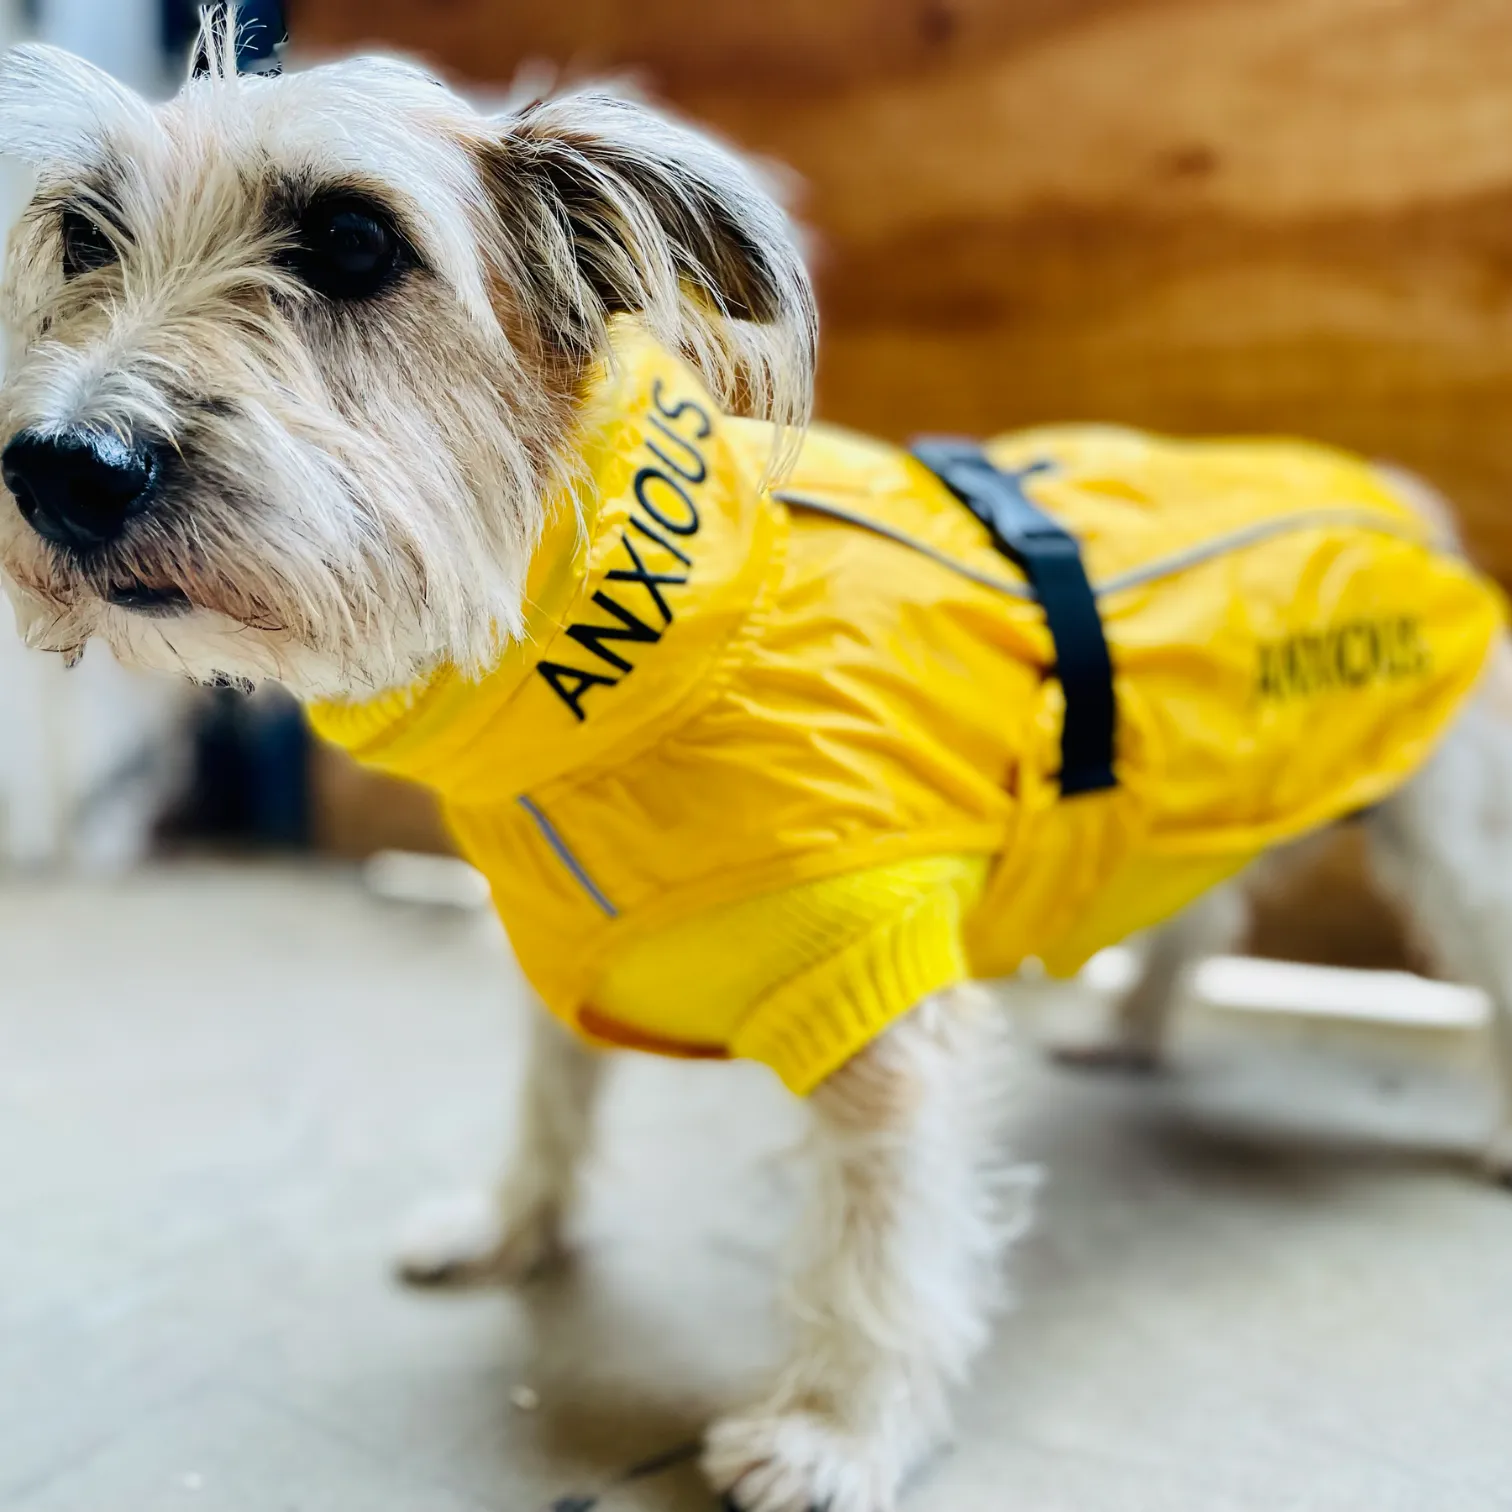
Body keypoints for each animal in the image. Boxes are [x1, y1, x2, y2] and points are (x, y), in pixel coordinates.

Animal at [0, 26, 1505, 1512]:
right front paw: (511, 1228)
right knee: (1203, 908)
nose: (61, 467)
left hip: (1460, 849)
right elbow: (547, 1103)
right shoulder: (564, 947)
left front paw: (838, 1429)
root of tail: (1397, 490)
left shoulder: (879, 993)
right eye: (82, 235)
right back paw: (1131, 1028)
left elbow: (877, 1247)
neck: (633, 656)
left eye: (355, 242)